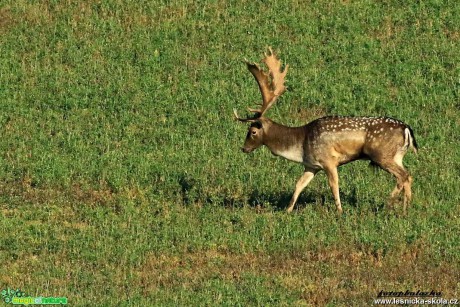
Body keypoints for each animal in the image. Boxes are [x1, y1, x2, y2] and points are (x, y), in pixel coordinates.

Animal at [235, 48, 418, 217]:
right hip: (397, 155)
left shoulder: (329, 160)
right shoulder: (311, 165)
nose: (243, 148)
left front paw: (340, 211)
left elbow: (334, 185)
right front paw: (287, 210)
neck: (300, 144)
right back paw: (406, 209)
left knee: (403, 176)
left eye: (252, 131)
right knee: (408, 176)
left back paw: (388, 205)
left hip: (382, 154)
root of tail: (407, 129)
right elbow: (299, 185)